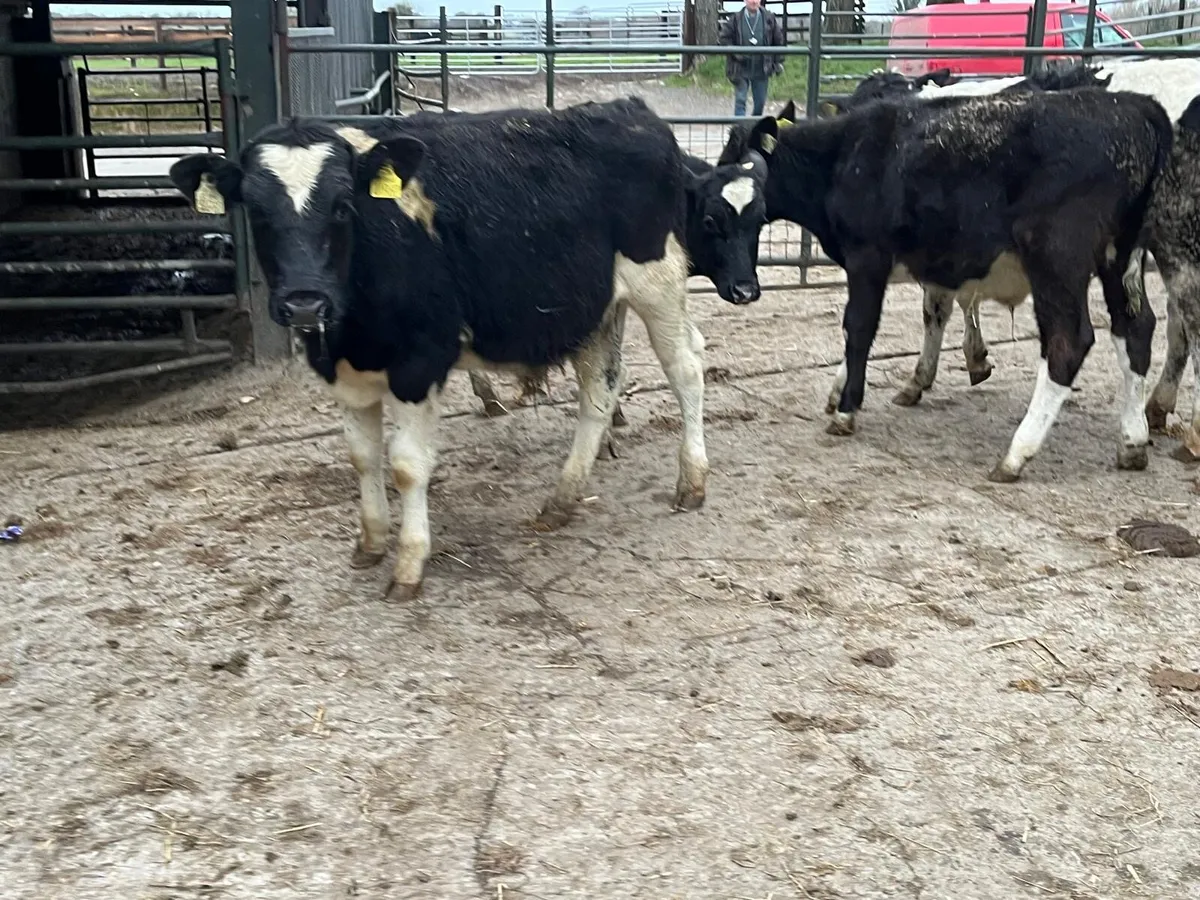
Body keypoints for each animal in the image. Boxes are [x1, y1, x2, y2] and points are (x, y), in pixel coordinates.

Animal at [168, 98, 710, 599]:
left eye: (343, 207)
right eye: (257, 213)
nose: (305, 302)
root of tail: (629, 109)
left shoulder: (419, 361)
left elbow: (407, 466)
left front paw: (409, 564)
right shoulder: (345, 372)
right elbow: (362, 456)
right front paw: (371, 541)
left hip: (658, 282)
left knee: (686, 368)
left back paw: (691, 482)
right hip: (594, 307)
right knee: (599, 390)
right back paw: (563, 499)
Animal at [719, 88, 1173, 481]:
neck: (843, 158)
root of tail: (1132, 105)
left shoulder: (867, 258)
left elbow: (858, 328)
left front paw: (847, 410)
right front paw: (843, 391)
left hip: (1056, 259)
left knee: (1068, 342)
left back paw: (1016, 453)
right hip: (1119, 259)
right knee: (1135, 330)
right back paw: (1132, 441)